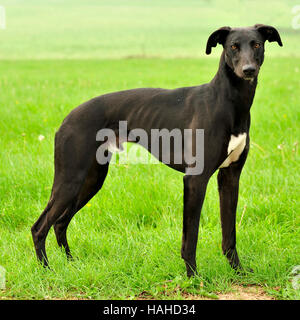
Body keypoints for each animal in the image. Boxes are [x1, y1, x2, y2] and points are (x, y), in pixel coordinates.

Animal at [31, 24, 282, 278]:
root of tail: (67, 118)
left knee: (60, 222)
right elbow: (190, 238)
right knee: (40, 226)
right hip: (70, 179)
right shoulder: (195, 179)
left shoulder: (230, 177)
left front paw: (238, 271)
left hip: (91, 180)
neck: (227, 101)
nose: (248, 70)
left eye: (257, 44)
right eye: (233, 46)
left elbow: (229, 233)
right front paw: (194, 277)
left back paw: (72, 263)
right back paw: (46, 270)